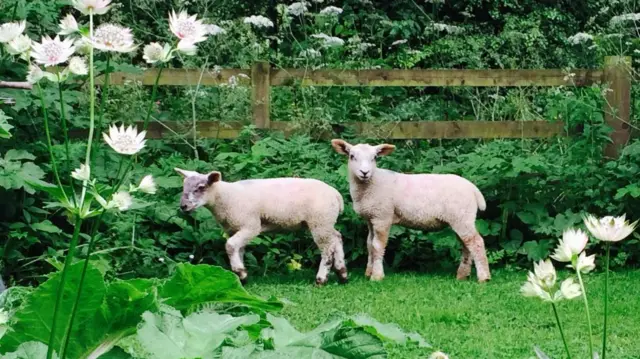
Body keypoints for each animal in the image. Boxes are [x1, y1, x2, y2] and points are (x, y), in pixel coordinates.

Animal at [172, 169, 348, 286]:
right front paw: (241, 277)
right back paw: (343, 273)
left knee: (327, 249)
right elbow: (237, 249)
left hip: (320, 222)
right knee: (337, 238)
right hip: (326, 222)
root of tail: (336, 195)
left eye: (201, 187)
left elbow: (230, 246)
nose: (183, 206)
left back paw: (321, 279)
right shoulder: (235, 228)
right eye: (184, 186)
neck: (226, 197)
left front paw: (240, 272)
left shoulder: (250, 225)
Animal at [330, 139, 490, 282]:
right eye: (352, 156)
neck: (373, 182)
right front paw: (368, 272)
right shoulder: (370, 218)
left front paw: (377, 276)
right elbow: (369, 244)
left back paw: (484, 277)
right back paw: (462, 275)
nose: (365, 172)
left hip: (462, 217)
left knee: (476, 243)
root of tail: (473, 189)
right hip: (460, 219)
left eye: (374, 157)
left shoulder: (382, 217)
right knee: (466, 245)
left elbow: (377, 246)